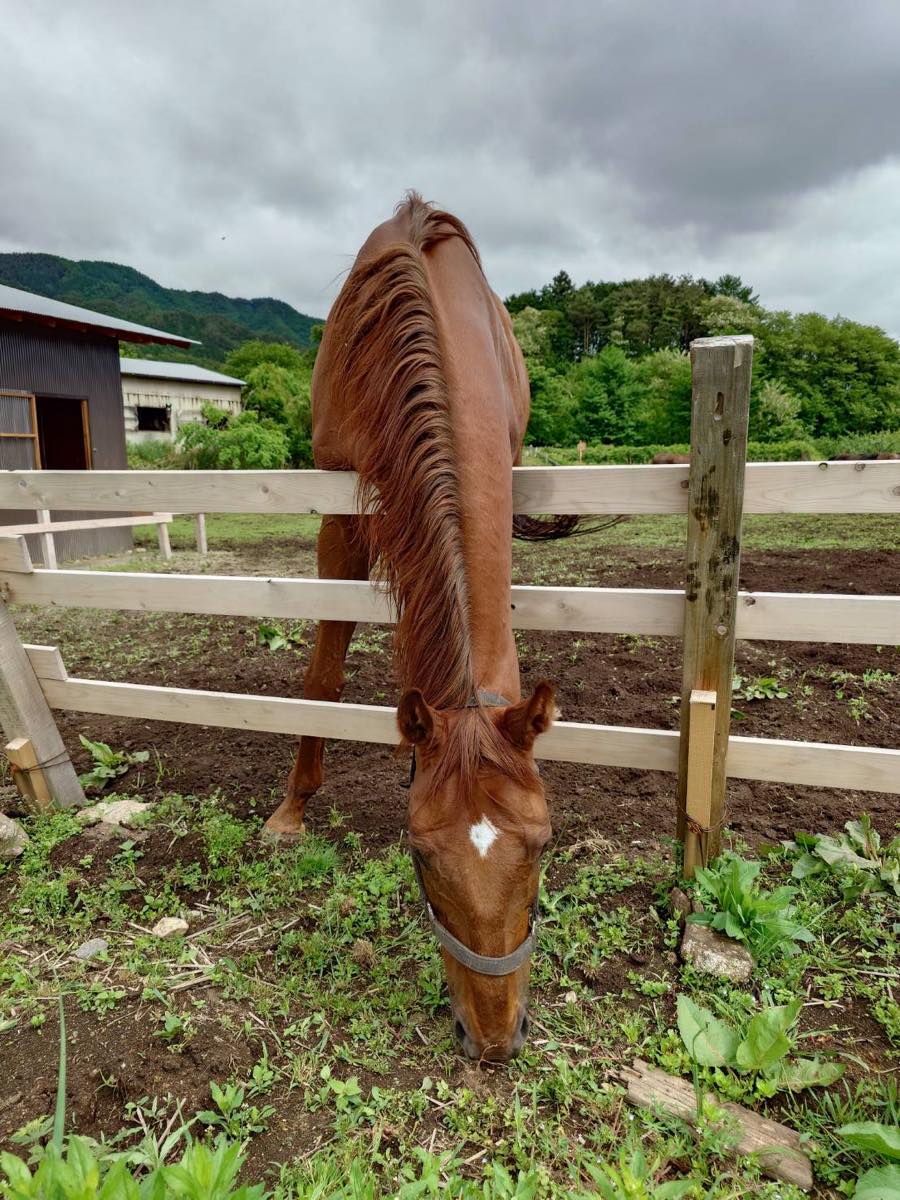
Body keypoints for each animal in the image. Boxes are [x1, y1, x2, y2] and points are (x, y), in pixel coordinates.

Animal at [263, 194, 555, 1061]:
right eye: (420, 857)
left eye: (543, 846)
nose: (493, 1039)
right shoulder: (339, 509)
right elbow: (322, 673)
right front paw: (291, 812)